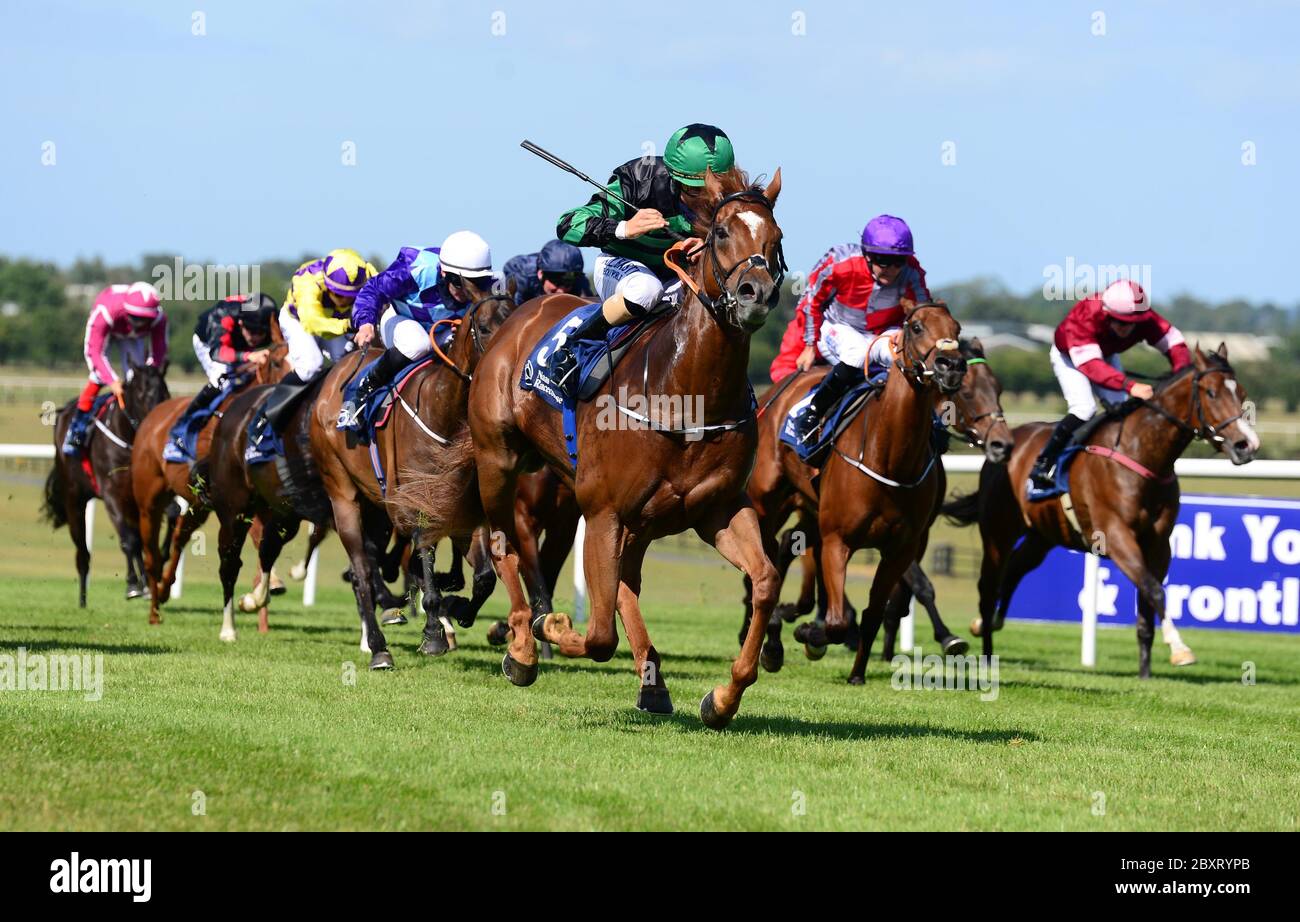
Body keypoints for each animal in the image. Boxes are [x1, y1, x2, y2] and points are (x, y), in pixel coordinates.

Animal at [43, 358, 171, 603]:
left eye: (166, 394)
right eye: (142, 394)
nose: (158, 427)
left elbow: (163, 522)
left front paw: (155, 570)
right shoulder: (112, 494)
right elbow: (129, 540)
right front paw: (132, 584)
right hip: (74, 501)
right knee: (83, 552)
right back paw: (83, 599)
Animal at [310, 287, 517, 671]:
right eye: (483, 327)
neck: (443, 411)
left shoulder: (463, 508)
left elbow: (482, 578)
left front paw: (458, 608)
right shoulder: (416, 502)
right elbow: (425, 561)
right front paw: (434, 632)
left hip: (375, 506)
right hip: (341, 493)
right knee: (362, 571)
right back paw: (379, 648)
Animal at [470, 163, 790, 728]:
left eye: (776, 239)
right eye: (720, 232)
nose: (757, 293)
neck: (686, 392)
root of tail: (520, 313)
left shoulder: (719, 509)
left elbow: (766, 580)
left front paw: (723, 697)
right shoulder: (603, 511)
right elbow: (598, 636)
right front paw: (551, 628)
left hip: (639, 519)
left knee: (625, 582)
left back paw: (652, 682)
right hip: (498, 460)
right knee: (503, 542)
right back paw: (523, 646)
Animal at [946, 345, 1258, 676]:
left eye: (1241, 393)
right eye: (1211, 393)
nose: (1247, 445)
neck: (1142, 453)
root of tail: (1002, 443)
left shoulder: (1158, 544)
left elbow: (1148, 601)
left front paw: (1145, 674)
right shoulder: (1116, 536)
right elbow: (1155, 590)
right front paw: (1180, 649)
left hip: (1042, 535)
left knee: (1016, 568)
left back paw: (988, 622)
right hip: (998, 530)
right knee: (988, 585)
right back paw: (986, 652)